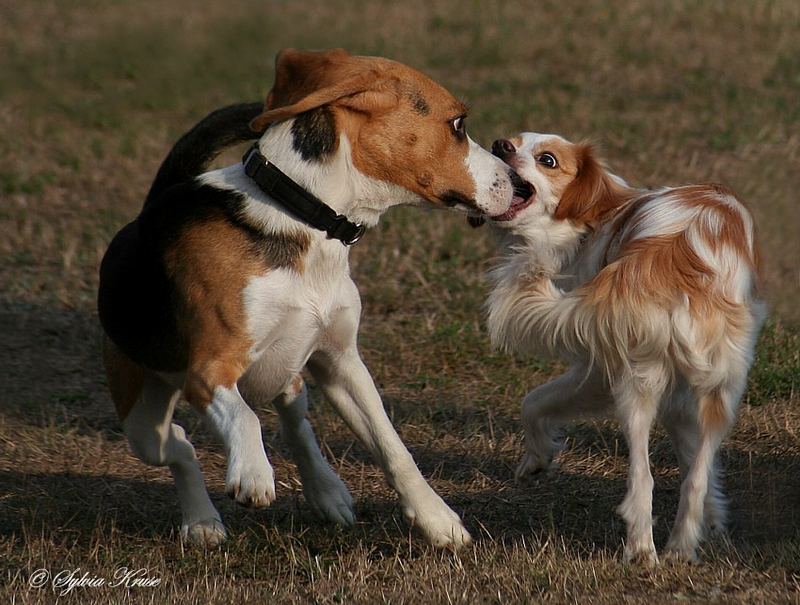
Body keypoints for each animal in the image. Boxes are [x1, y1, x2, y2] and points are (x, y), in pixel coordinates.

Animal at [97, 48, 520, 548]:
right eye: (457, 124)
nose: (522, 186)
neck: (303, 218)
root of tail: (151, 206)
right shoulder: (208, 371)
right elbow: (245, 418)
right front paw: (253, 474)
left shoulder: (342, 362)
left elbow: (393, 447)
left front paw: (436, 518)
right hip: (142, 422)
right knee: (181, 446)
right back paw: (202, 520)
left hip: (292, 370)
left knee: (294, 419)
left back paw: (326, 491)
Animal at [478, 132, 764, 560]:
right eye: (510, 142)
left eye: (548, 160)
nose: (499, 145)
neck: (602, 213)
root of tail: (671, 253)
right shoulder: (682, 398)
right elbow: (700, 467)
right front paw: (714, 522)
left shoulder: (597, 367)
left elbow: (533, 401)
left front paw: (537, 459)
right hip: (715, 392)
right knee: (691, 478)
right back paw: (677, 549)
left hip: (635, 382)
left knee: (642, 478)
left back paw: (642, 551)